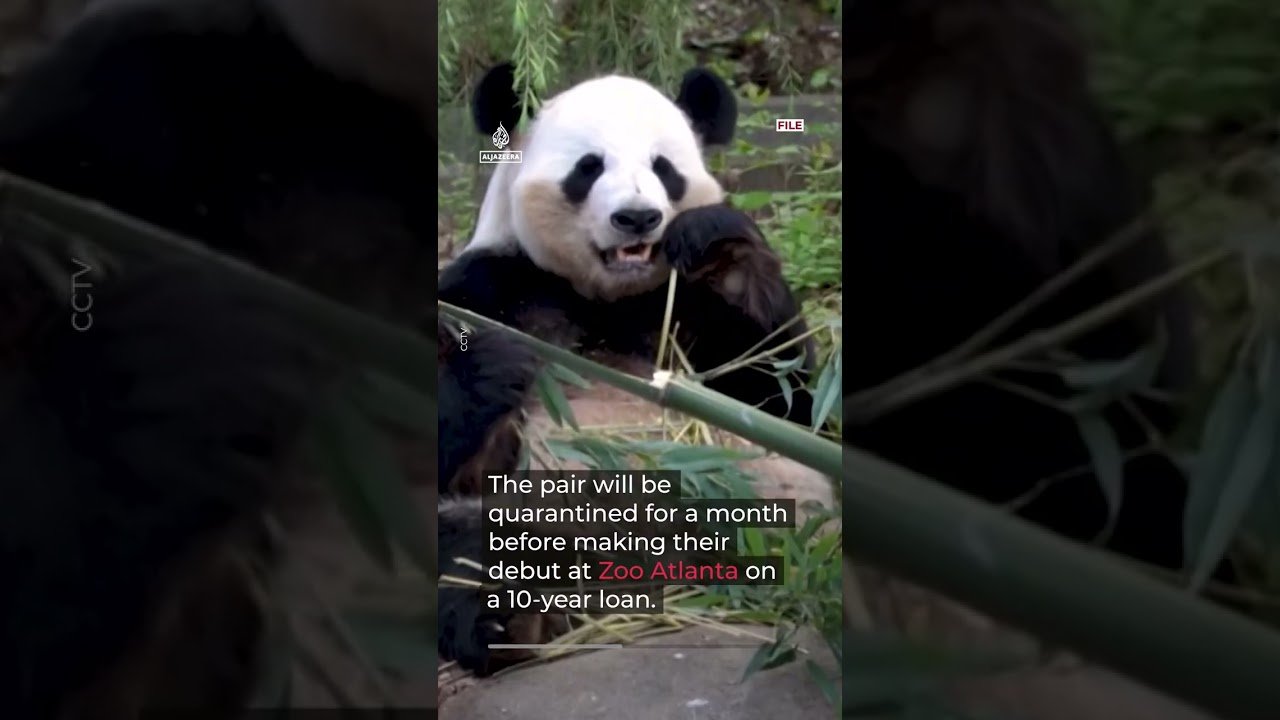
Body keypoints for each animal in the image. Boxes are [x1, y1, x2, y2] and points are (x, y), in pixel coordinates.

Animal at [435, 63, 832, 673]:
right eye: (588, 167)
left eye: (662, 167)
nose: (638, 218)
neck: (604, 297)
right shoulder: (492, 283)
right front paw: (496, 357)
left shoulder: (684, 310)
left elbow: (785, 402)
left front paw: (718, 245)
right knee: (470, 542)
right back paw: (514, 616)